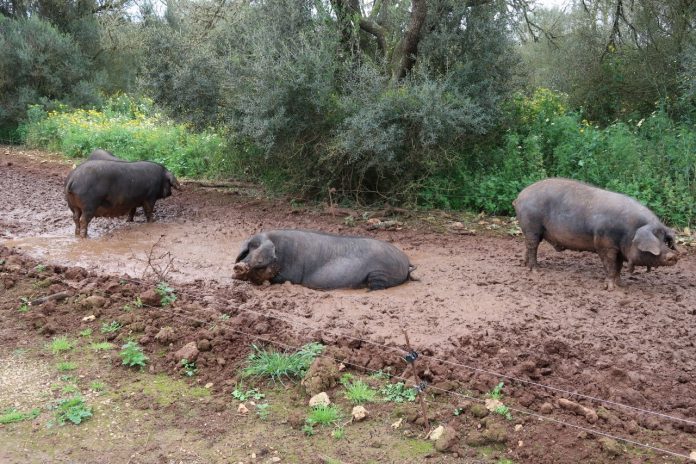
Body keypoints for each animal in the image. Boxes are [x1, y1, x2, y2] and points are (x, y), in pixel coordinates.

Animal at [234, 229, 414, 290]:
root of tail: (406, 261)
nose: (239, 266)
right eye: (249, 249)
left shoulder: (291, 274)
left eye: (260, 259)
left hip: (380, 273)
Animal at [512, 178, 680, 290]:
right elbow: (610, 264)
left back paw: (525, 265)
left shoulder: (618, 249)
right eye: (655, 238)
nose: (674, 256)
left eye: (664, 239)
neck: (630, 231)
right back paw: (535, 270)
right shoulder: (604, 243)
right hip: (531, 226)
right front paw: (610, 288)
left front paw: (621, 284)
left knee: (528, 246)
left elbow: (618, 266)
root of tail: (520, 196)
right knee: (532, 246)